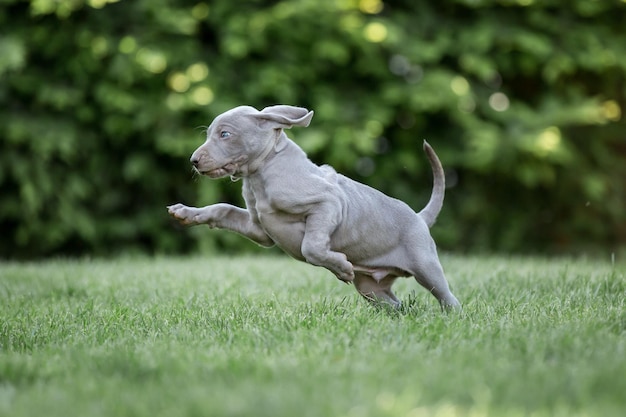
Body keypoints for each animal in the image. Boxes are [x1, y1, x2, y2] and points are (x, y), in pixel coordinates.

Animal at [168, 104, 460, 308]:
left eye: (225, 134)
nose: (193, 161)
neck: (262, 174)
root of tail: (420, 217)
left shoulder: (328, 203)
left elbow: (312, 247)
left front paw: (340, 266)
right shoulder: (259, 230)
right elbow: (222, 209)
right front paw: (187, 213)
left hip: (425, 266)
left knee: (449, 298)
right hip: (372, 288)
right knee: (398, 306)